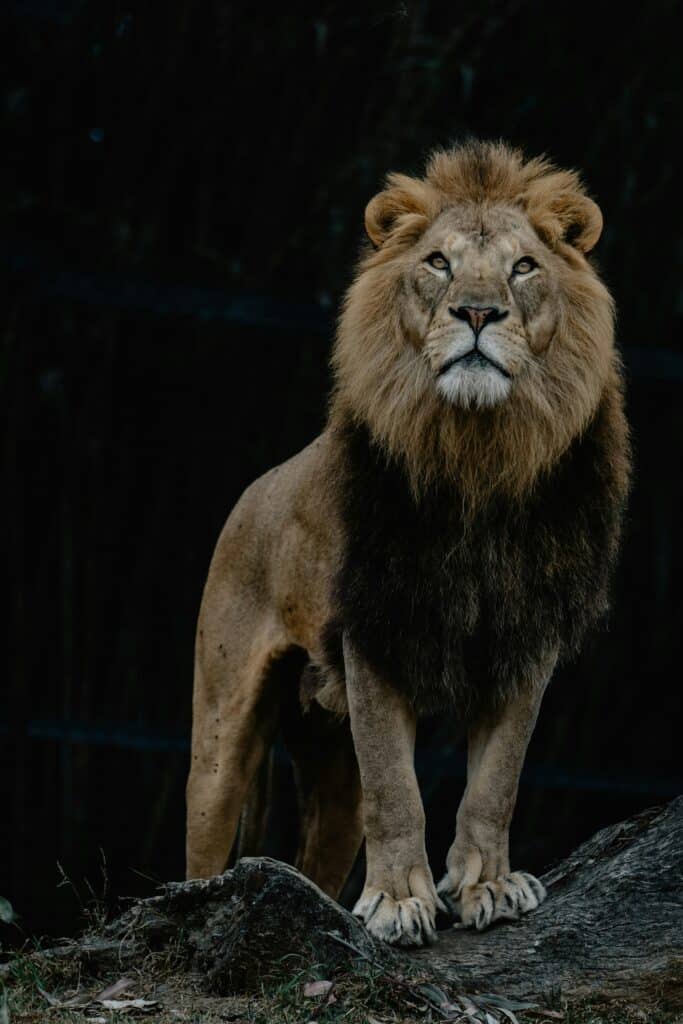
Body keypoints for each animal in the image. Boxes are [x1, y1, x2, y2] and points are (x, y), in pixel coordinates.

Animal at [185, 140, 630, 947]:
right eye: (438, 263)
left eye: (524, 266)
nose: (478, 312)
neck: (478, 454)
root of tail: (254, 490)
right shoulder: (374, 630)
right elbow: (396, 790)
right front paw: (397, 902)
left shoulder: (527, 636)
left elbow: (496, 782)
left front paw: (486, 885)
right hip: (221, 735)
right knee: (204, 850)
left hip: (331, 761)